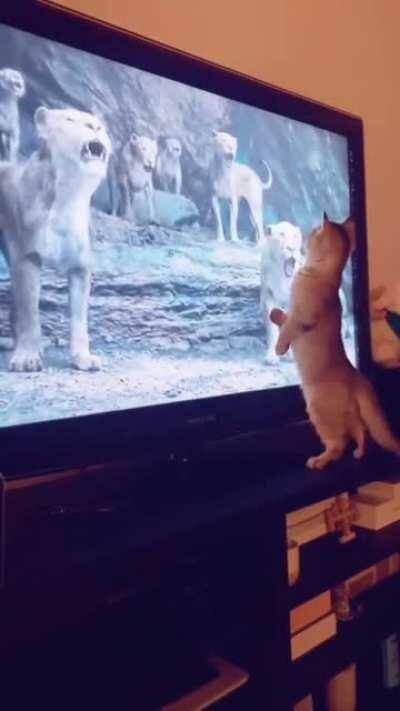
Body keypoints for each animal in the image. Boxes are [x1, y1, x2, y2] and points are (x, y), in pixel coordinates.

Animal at [0, 106, 111, 372]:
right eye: (70, 119)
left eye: (100, 125)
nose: (95, 127)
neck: (69, 197)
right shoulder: (26, 257)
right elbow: (30, 310)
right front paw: (27, 358)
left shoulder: (80, 266)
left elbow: (79, 315)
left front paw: (83, 358)